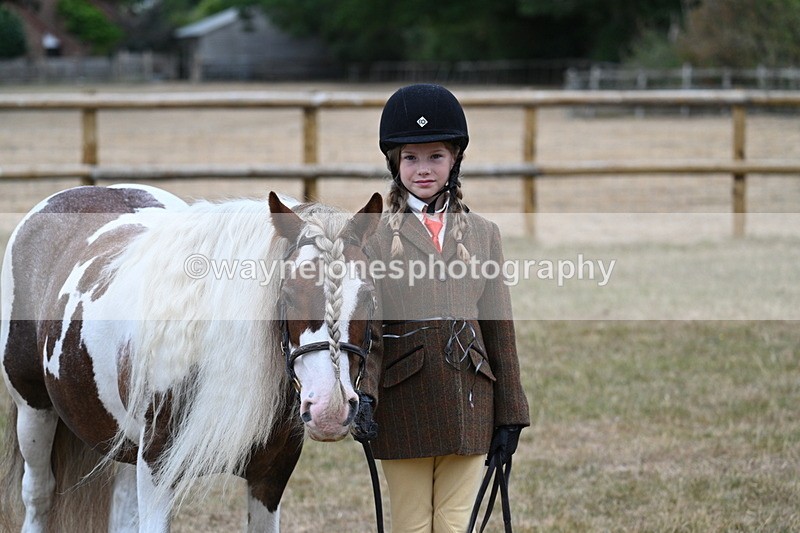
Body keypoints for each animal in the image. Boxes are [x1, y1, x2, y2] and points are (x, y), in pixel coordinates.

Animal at [0, 183, 382, 532]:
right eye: (287, 293)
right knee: (39, 495)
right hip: (34, 412)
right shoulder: (156, 471)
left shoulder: (270, 478)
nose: (330, 410)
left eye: (368, 297)